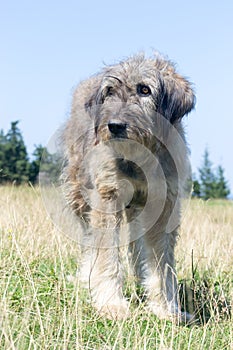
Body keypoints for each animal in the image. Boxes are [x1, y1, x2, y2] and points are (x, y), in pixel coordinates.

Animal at [61, 53, 196, 322]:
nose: (114, 126)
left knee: (136, 244)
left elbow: (162, 262)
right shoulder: (106, 197)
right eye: (109, 92)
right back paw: (87, 277)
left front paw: (167, 309)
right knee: (90, 241)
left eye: (145, 90)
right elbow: (107, 255)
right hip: (80, 194)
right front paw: (111, 304)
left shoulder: (164, 204)